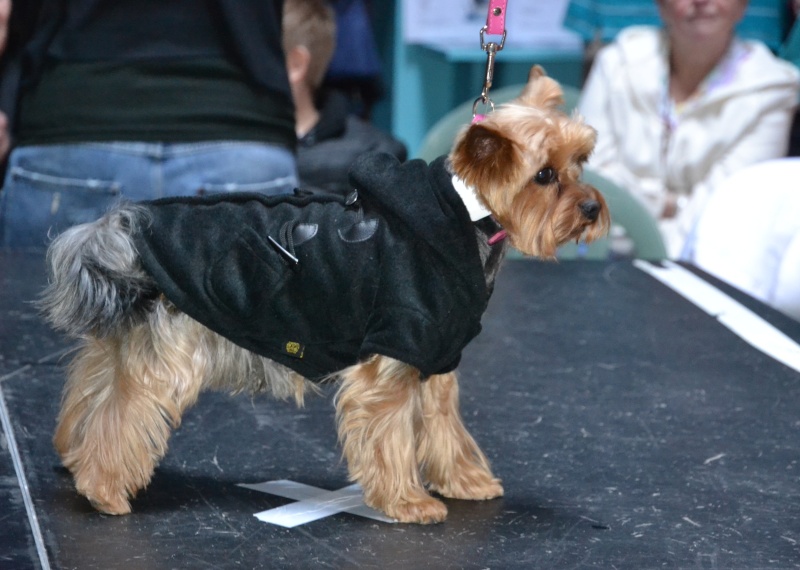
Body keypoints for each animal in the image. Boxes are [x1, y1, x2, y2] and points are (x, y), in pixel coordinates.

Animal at [39, 64, 608, 520]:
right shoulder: (391, 360)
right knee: (125, 414)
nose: (592, 208)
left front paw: (465, 481)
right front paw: (408, 502)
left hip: (123, 343)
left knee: (92, 392)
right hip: (171, 355)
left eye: (581, 162)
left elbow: (446, 428)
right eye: (545, 175)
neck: (468, 217)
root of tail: (125, 227)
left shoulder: (435, 356)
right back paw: (103, 490)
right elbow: (392, 435)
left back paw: (74, 457)